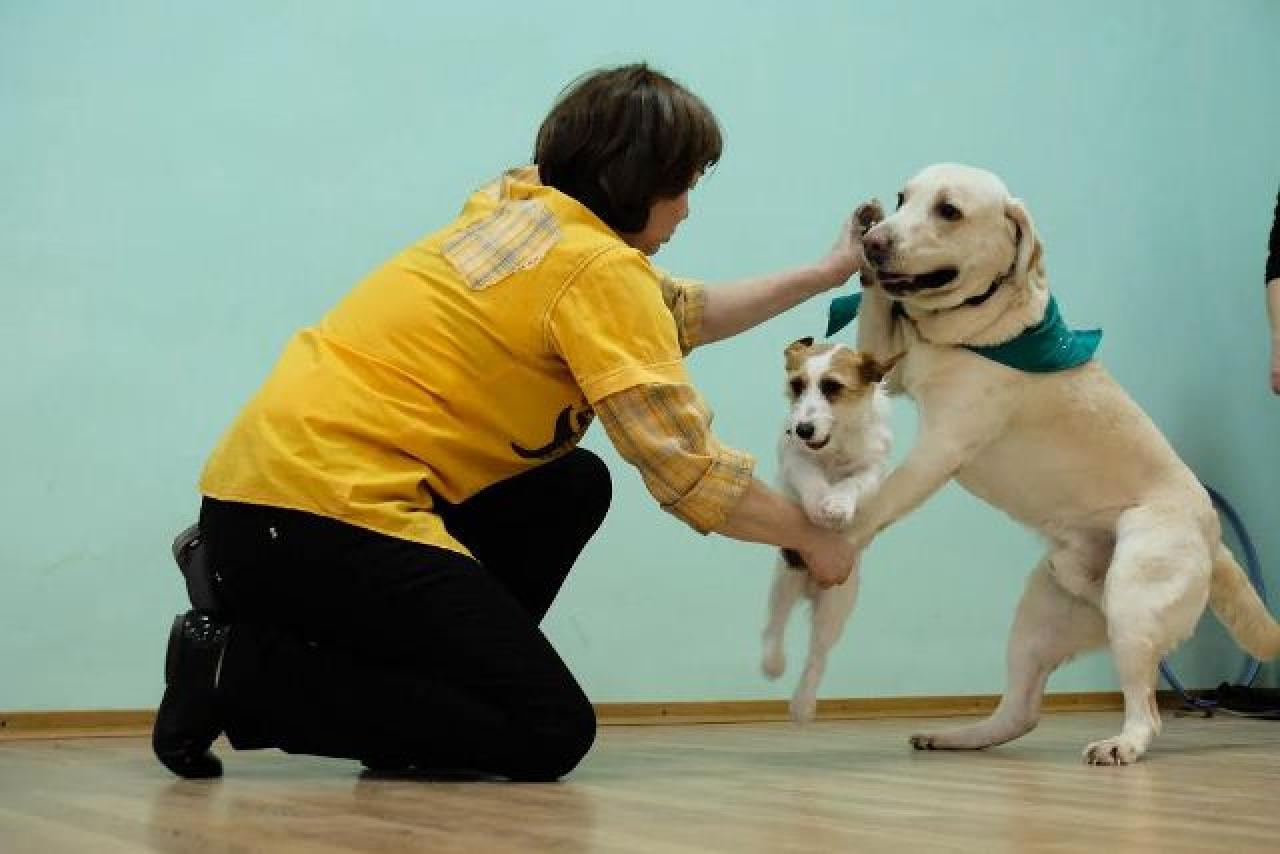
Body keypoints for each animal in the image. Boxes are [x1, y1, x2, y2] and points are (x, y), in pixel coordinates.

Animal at [757, 338, 901, 727]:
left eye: (833, 387)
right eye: (796, 385)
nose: (804, 429)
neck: (835, 444)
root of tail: (811, 587)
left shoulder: (872, 469)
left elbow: (854, 483)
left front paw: (837, 504)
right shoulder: (794, 456)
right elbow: (809, 475)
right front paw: (819, 501)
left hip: (835, 609)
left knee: (817, 657)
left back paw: (803, 703)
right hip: (785, 582)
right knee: (774, 628)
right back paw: (773, 664)